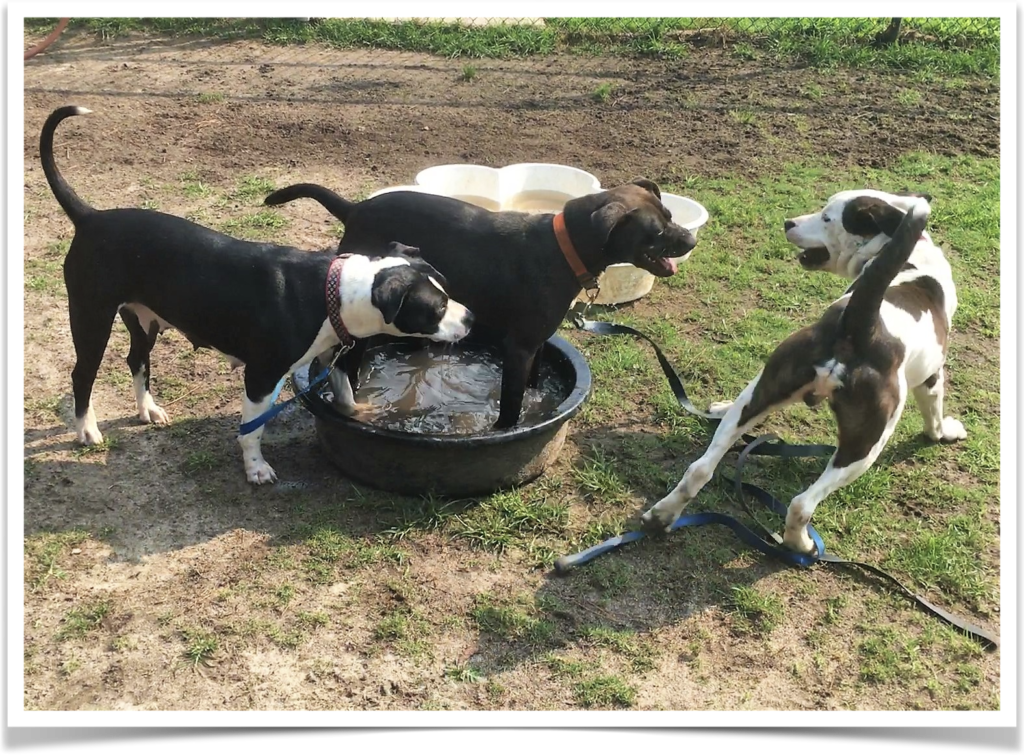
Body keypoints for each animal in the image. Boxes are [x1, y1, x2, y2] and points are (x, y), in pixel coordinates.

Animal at [37, 106, 475, 483]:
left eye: (447, 289)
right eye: (436, 307)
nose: (470, 317)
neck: (331, 292)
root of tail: (91, 217)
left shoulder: (330, 356)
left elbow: (346, 397)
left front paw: (363, 414)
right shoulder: (261, 376)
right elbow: (251, 430)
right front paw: (256, 469)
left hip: (144, 319)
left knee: (137, 360)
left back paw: (147, 409)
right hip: (91, 315)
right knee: (82, 374)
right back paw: (87, 430)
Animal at [643, 189, 962, 553]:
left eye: (826, 217)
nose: (788, 223)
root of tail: (859, 324)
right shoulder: (932, 376)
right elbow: (934, 414)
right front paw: (944, 433)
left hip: (765, 389)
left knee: (700, 468)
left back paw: (661, 516)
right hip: (866, 444)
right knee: (801, 504)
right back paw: (801, 545)